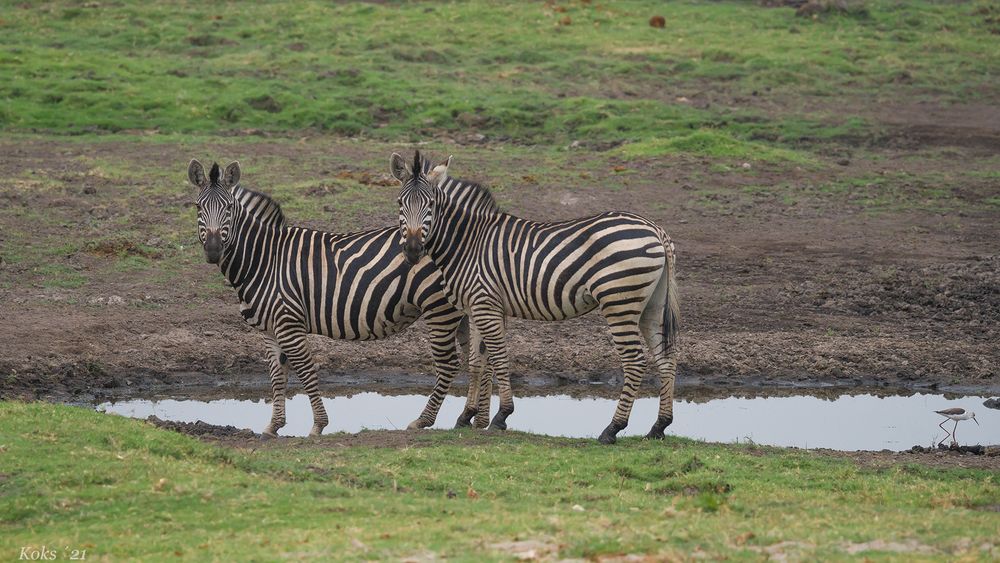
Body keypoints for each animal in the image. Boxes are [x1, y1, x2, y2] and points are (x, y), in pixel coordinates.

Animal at [189, 159, 490, 436]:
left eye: (229, 208)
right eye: (197, 207)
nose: (213, 250)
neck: (265, 260)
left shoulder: (289, 323)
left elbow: (306, 371)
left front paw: (317, 426)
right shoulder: (269, 329)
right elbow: (277, 375)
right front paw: (273, 426)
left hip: (439, 308)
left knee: (450, 364)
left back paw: (424, 420)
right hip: (460, 310)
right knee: (478, 357)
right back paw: (473, 417)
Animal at [392, 153, 680, 446]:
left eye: (431, 205)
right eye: (400, 203)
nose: (413, 251)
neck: (467, 243)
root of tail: (655, 229)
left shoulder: (485, 304)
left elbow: (498, 357)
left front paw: (501, 416)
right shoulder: (477, 307)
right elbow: (477, 361)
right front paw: (467, 418)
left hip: (620, 303)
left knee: (635, 361)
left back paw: (612, 429)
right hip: (652, 305)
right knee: (666, 357)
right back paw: (659, 427)